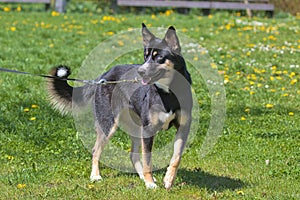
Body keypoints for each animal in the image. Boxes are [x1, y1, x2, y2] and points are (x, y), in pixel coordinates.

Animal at [47, 23, 192, 189]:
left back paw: (142, 176)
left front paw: (168, 179)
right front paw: (150, 184)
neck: (168, 92)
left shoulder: (183, 127)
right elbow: (148, 160)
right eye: (145, 56)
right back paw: (96, 176)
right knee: (96, 150)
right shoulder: (148, 130)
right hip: (108, 124)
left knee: (133, 154)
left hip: (136, 127)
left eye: (159, 57)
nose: (140, 72)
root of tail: (104, 76)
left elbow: (176, 157)